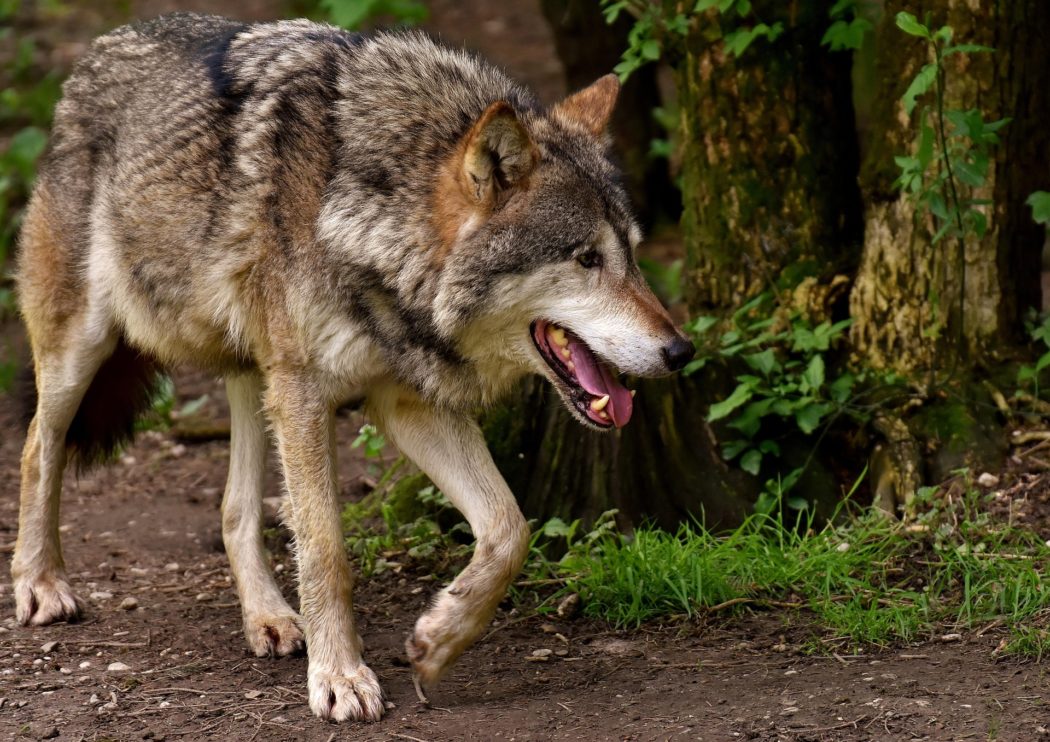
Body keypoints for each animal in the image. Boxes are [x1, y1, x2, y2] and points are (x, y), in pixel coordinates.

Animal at [11, 13, 694, 722]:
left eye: (634, 256)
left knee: (235, 508)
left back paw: (270, 619)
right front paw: (339, 676)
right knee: (38, 447)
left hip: (255, 376)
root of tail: (99, 49)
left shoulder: (406, 403)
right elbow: (326, 550)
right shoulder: (308, 394)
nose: (681, 351)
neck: (372, 223)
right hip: (85, 350)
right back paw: (40, 584)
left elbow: (510, 528)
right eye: (587, 259)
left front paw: (439, 641)